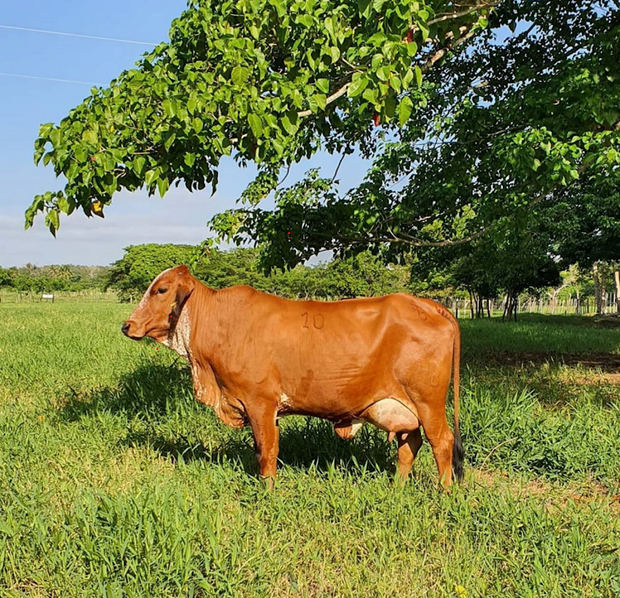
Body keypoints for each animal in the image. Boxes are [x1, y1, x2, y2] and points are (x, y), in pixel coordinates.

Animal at [121, 266, 462, 488]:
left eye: (161, 289)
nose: (127, 325)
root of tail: (425, 303)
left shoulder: (260, 403)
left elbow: (267, 452)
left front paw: (267, 491)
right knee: (410, 443)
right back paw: (397, 488)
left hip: (428, 402)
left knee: (442, 442)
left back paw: (444, 492)